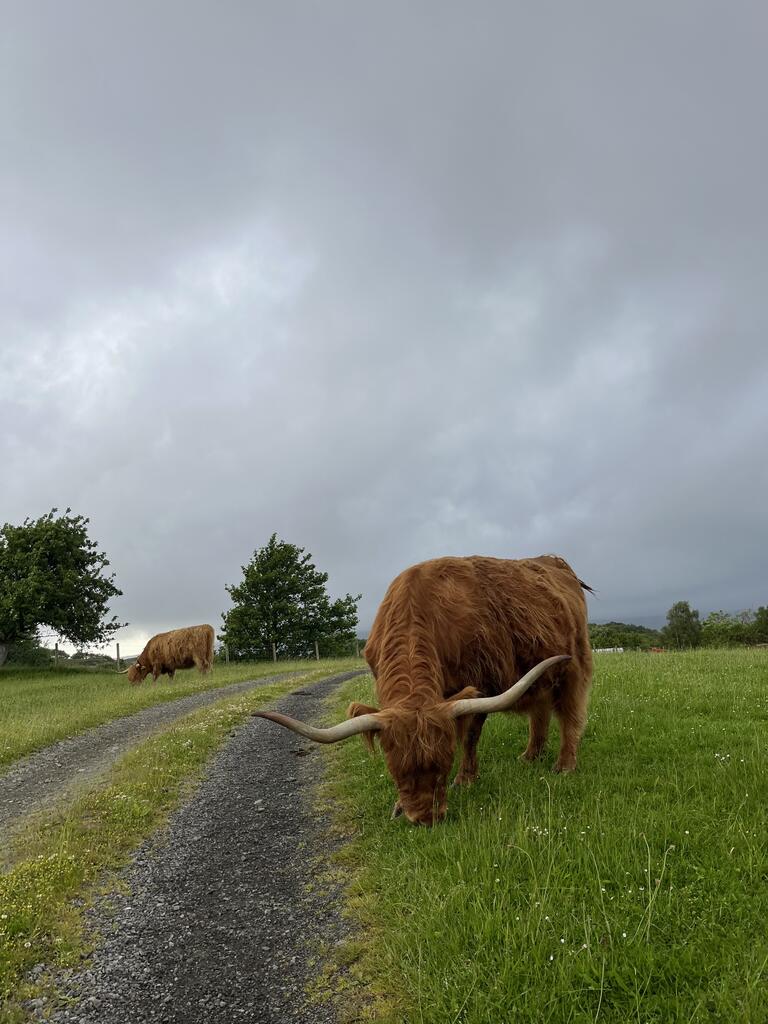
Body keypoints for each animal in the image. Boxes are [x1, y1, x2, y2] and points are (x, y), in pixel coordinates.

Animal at [254, 555, 593, 825]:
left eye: (443, 767)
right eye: (396, 770)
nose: (426, 819)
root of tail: (555, 562)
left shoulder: (482, 685)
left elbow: (470, 736)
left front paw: (465, 780)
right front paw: (398, 806)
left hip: (574, 666)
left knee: (571, 715)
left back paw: (564, 765)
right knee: (540, 712)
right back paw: (530, 755)